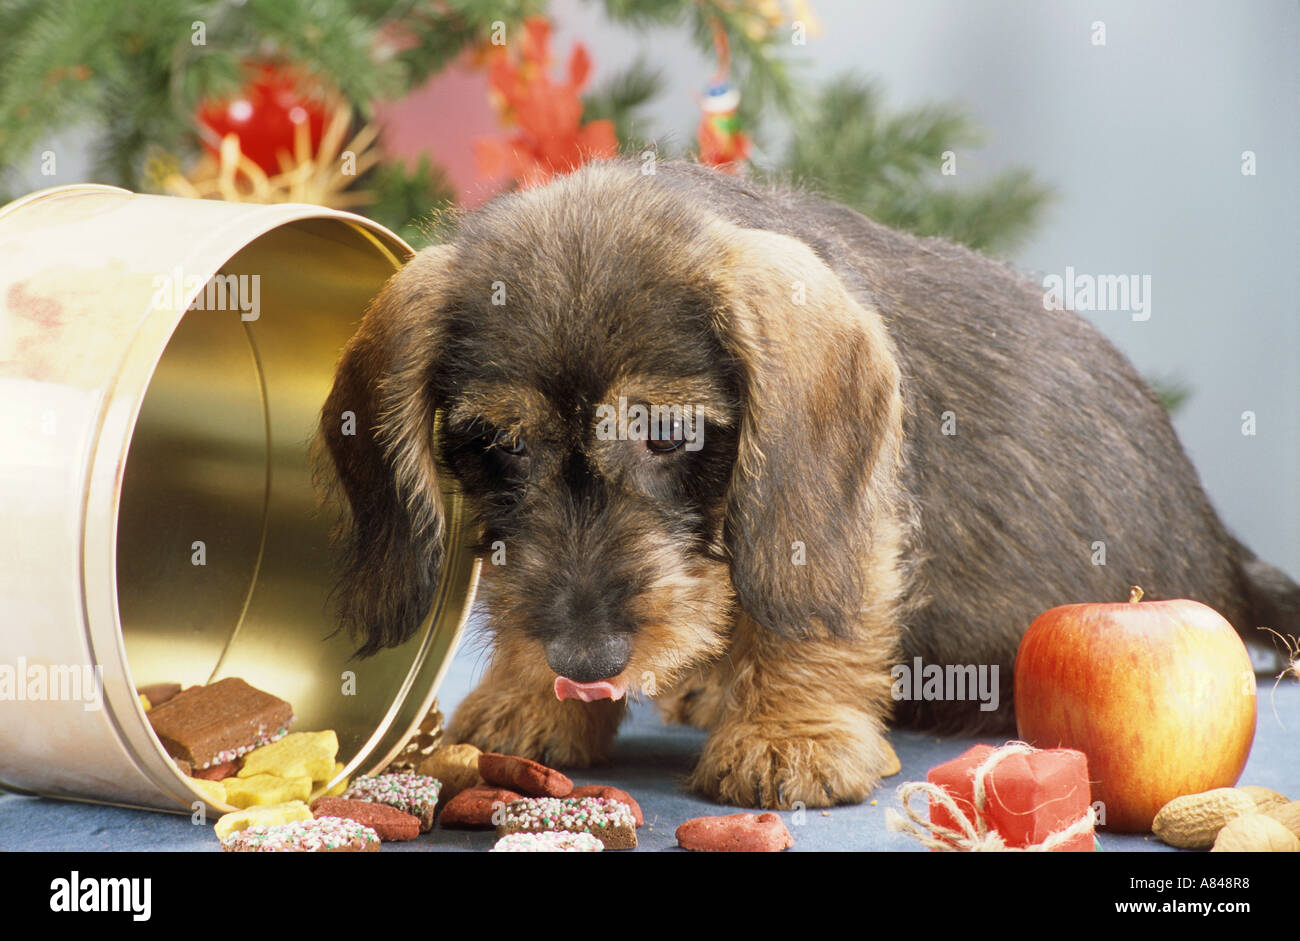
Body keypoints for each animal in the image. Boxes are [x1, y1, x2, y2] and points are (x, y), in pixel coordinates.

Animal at [317, 155, 1300, 811]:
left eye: (667, 434)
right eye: (498, 442)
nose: (586, 661)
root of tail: (1225, 552)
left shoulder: (840, 526)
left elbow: (807, 615)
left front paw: (792, 737)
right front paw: (529, 695)